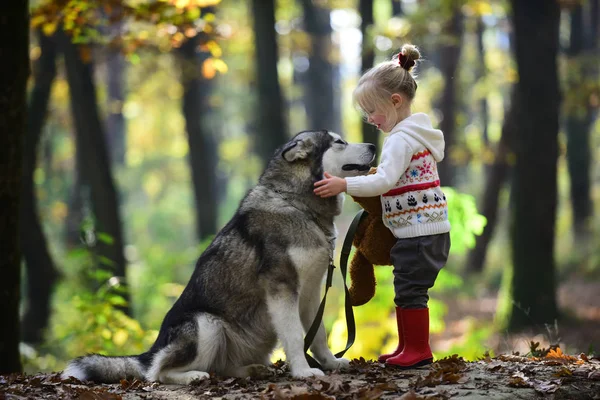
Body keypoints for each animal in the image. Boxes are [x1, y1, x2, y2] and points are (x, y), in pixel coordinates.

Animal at [64, 130, 376, 384]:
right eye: (339, 142)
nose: (373, 144)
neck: (299, 205)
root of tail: (152, 348)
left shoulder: (311, 291)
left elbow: (318, 334)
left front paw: (331, 362)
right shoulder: (282, 288)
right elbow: (296, 336)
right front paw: (303, 371)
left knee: (220, 368)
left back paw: (250, 370)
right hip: (206, 324)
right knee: (158, 373)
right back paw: (192, 376)